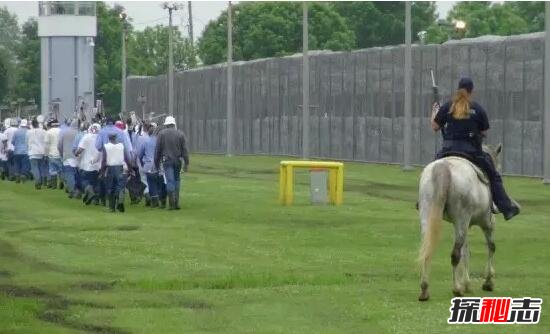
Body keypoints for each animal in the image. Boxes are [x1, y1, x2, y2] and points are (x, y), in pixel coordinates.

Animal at [418, 144, 504, 300]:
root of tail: (443, 167)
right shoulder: (487, 223)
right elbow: (491, 246)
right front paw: (488, 282)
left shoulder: (461, 225)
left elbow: (466, 251)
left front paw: (467, 284)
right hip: (464, 219)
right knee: (455, 254)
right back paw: (457, 288)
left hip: (428, 217)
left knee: (427, 250)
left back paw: (425, 289)